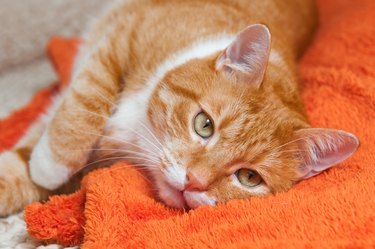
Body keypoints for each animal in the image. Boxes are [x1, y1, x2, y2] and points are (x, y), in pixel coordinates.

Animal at [0, 0, 362, 216]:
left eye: (249, 177)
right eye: (204, 125)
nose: (194, 181)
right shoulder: (124, 37)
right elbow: (85, 105)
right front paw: (49, 165)